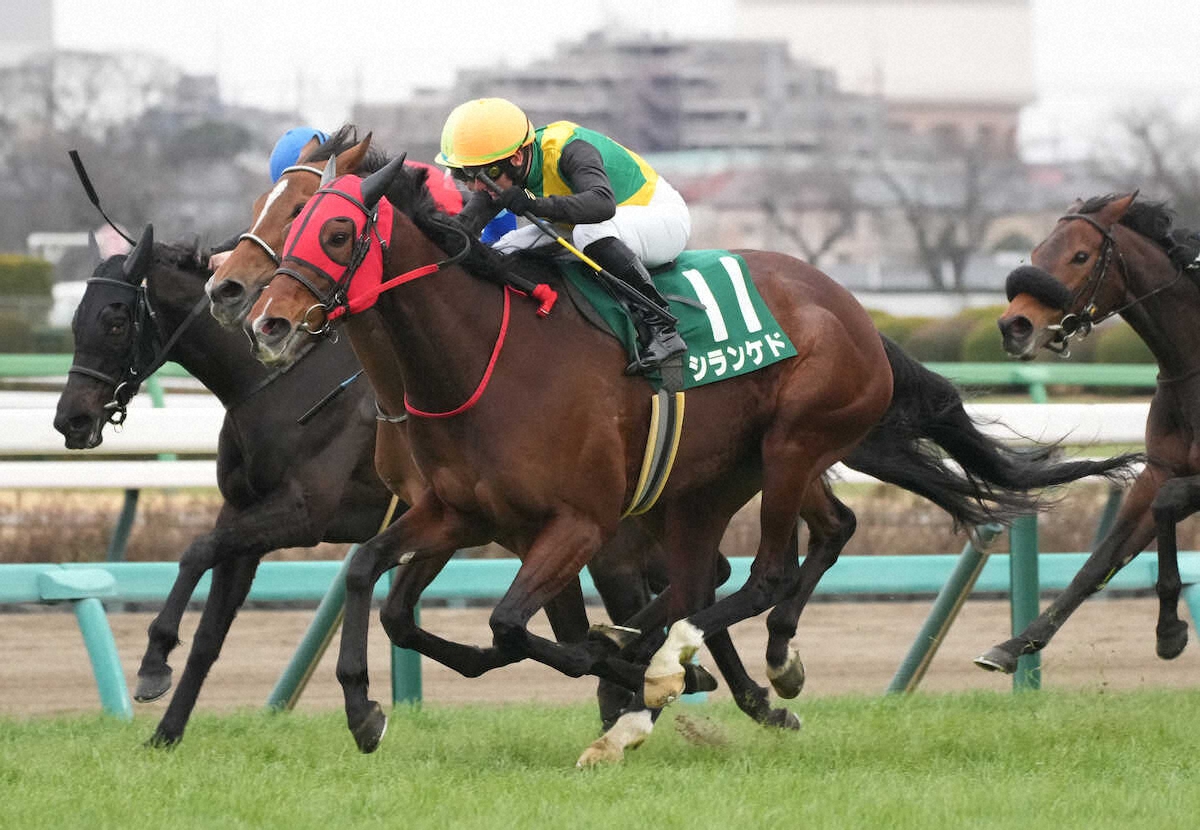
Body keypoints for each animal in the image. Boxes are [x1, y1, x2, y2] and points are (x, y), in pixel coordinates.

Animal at [55, 225, 679, 754]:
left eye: (115, 319)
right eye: (75, 319)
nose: (70, 420)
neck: (279, 381)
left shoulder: (304, 514)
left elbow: (195, 551)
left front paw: (154, 658)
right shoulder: (245, 516)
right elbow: (211, 625)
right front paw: (166, 729)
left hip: (605, 537)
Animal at [245, 156, 1138, 754]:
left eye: (335, 231)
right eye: (288, 222)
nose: (266, 320)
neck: (480, 360)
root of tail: (848, 306)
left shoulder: (579, 521)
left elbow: (507, 623)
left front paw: (624, 673)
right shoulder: (458, 512)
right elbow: (375, 580)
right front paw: (363, 709)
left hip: (792, 444)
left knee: (761, 573)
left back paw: (689, 665)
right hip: (712, 482)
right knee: (728, 570)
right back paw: (735, 676)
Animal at [984, 191, 1200, 672]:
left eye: (1080, 256)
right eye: (1035, 253)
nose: (1014, 326)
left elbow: (1167, 502)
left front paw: (1169, 631)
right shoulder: (1158, 470)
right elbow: (1102, 559)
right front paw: (1015, 644)